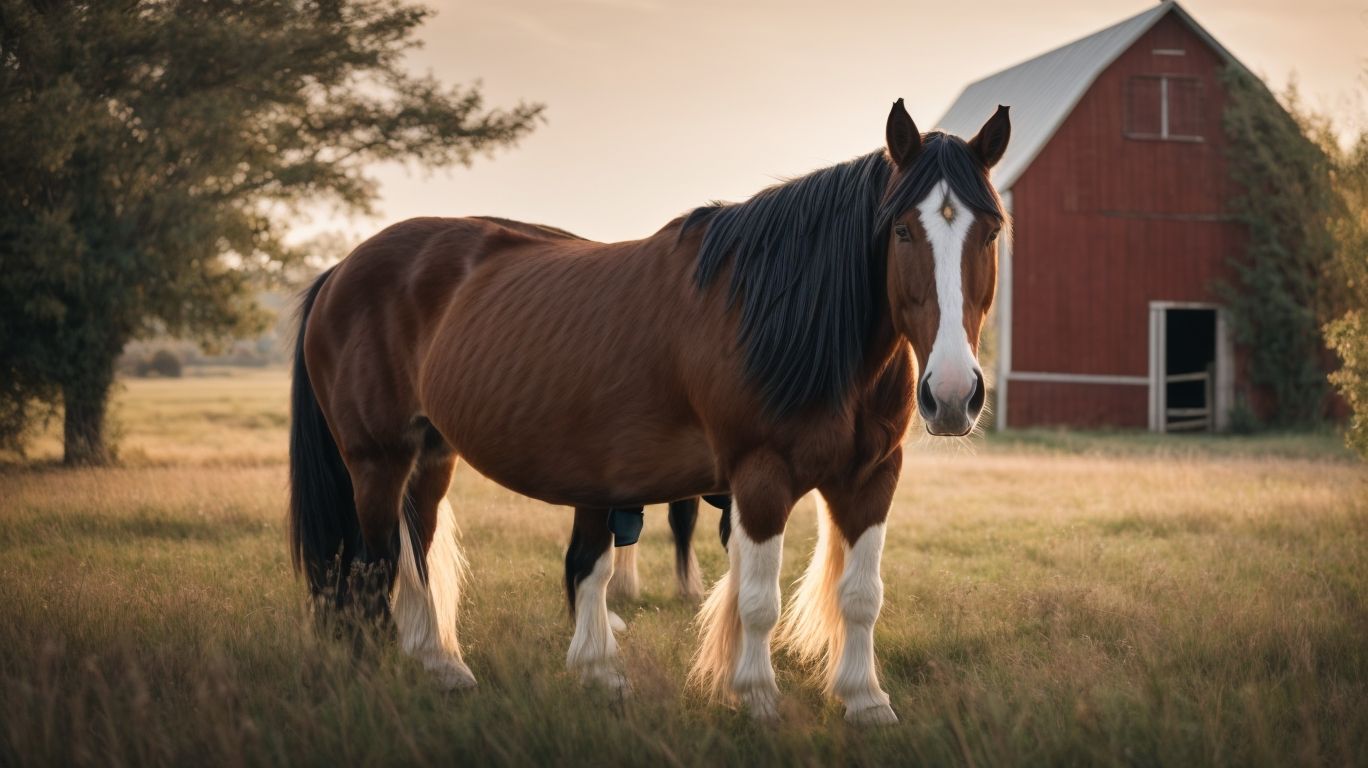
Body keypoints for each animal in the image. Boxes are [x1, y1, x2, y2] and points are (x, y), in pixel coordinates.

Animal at [288, 98, 1010, 723]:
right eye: (901, 228)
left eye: (992, 230)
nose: (952, 393)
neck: (786, 315)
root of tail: (342, 270)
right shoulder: (760, 477)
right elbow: (757, 601)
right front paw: (758, 700)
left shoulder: (871, 477)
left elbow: (861, 596)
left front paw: (865, 702)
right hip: (376, 459)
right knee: (373, 568)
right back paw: (371, 680)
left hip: (431, 454)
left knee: (418, 547)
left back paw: (442, 669)